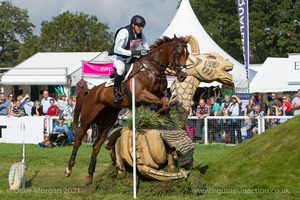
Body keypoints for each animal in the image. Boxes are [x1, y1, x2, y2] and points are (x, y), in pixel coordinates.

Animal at [65, 34, 190, 184]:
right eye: (178, 53)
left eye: (188, 54)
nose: (183, 76)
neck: (152, 69)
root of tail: (91, 91)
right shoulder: (141, 95)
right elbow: (159, 102)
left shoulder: (159, 94)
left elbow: (164, 104)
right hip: (87, 119)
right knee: (78, 141)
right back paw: (68, 169)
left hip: (106, 123)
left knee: (96, 146)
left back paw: (90, 175)